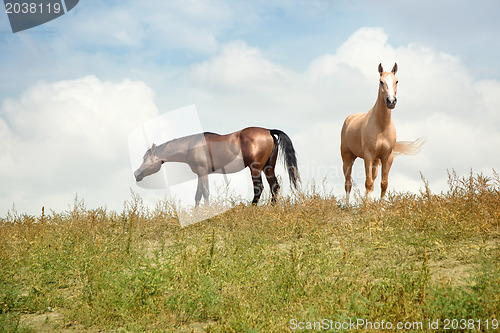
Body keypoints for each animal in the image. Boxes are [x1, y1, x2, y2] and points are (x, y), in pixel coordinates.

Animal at [134, 126, 300, 205]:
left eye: (146, 158)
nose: (136, 174)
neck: (192, 146)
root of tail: (268, 131)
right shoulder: (201, 173)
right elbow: (198, 195)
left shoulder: (203, 171)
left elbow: (205, 193)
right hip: (268, 167)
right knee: (274, 186)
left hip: (255, 169)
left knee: (259, 188)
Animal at [340, 62, 422, 202]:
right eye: (381, 81)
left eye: (396, 81)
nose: (391, 101)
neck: (381, 127)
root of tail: (349, 119)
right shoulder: (368, 156)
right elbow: (368, 183)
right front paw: (367, 207)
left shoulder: (387, 157)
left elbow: (383, 183)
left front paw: (380, 206)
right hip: (347, 159)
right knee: (348, 183)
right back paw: (347, 205)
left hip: (375, 162)